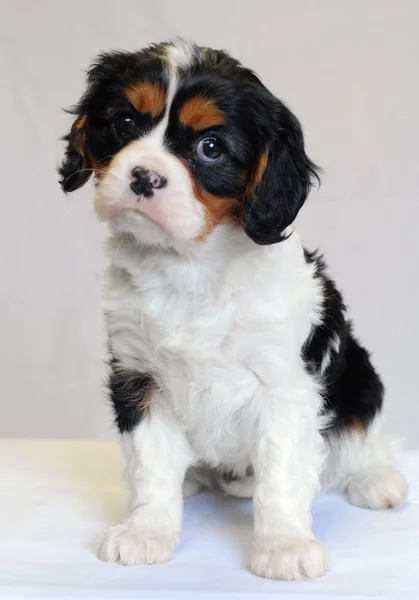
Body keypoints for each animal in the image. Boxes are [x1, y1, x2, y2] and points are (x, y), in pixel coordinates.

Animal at [58, 38, 406, 580]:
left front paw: (284, 545)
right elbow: (151, 462)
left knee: (361, 433)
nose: (144, 177)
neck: (189, 264)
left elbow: (281, 473)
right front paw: (146, 531)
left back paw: (376, 478)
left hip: (361, 379)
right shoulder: (138, 377)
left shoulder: (284, 384)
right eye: (124, 123)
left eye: (210, 148)